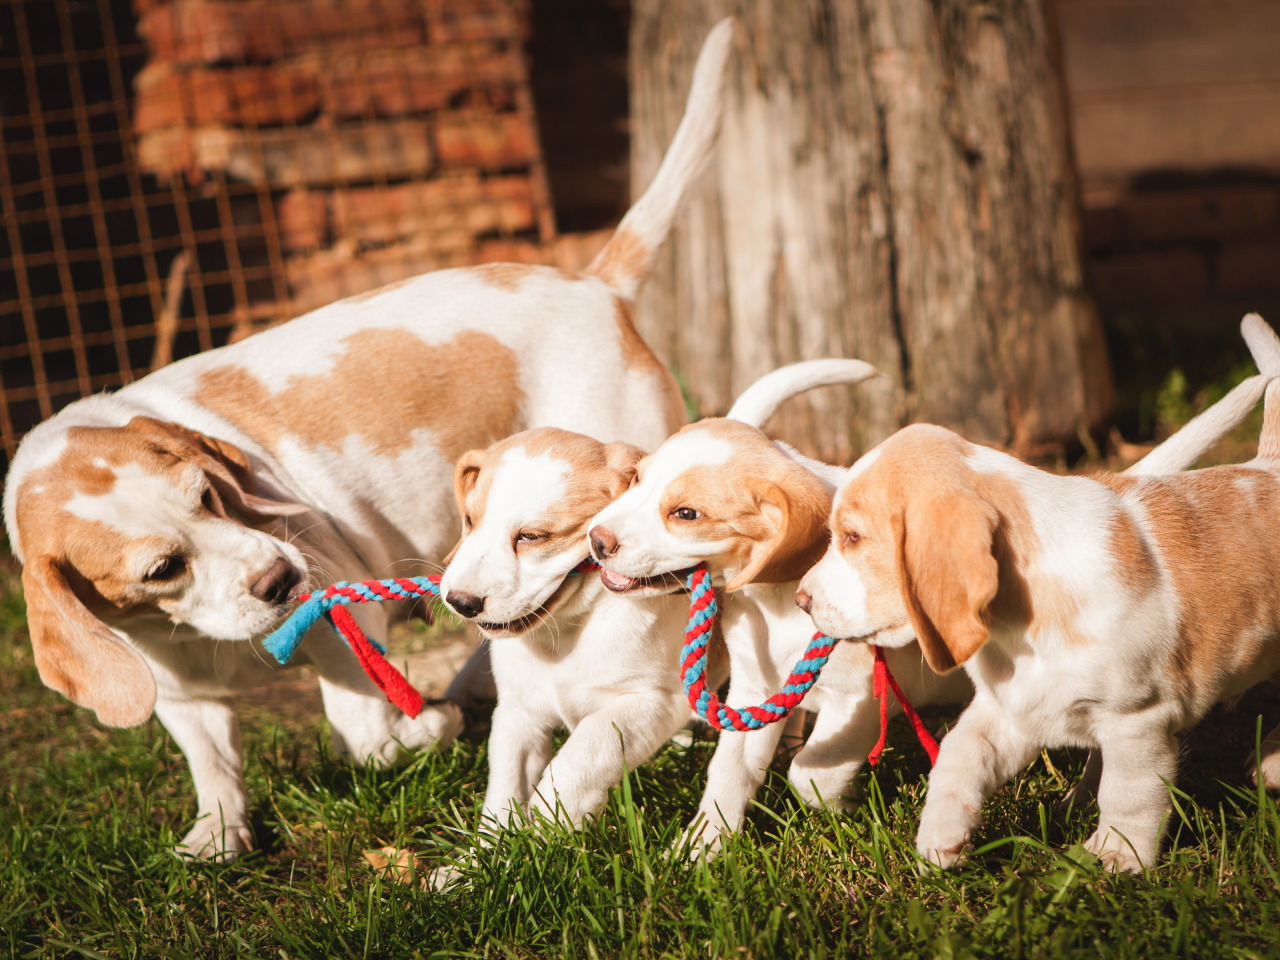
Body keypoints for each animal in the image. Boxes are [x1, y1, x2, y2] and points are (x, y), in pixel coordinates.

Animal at [2, 18, 742, 860]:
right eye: (160, 569)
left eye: (208, 497)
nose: (278, 581)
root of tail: (596, 284)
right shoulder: (182, 693)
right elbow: (213, 761)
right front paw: (217, 836)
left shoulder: (336, 613)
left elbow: (366, 734)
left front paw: (425, 730)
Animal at [793, 320, 1280, 875]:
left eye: (853, 537)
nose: (801, 599)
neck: (1020, 627)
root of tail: (1268, 465)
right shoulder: (1009, 709)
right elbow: (958, 757)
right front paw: (940, 839)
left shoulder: (1139, 723)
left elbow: (1130, 796)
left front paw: (1116, 856)